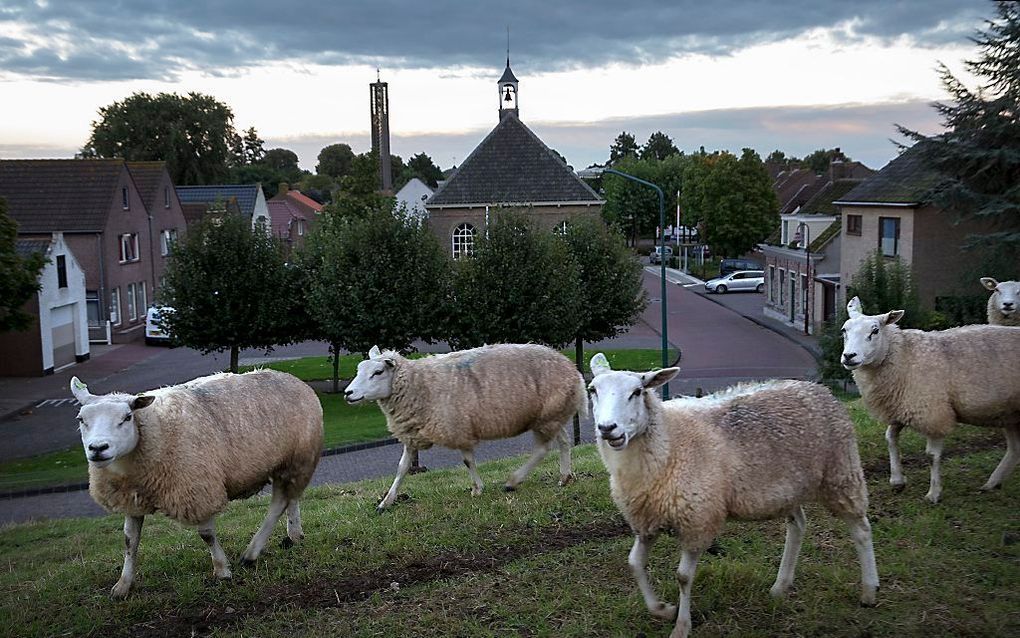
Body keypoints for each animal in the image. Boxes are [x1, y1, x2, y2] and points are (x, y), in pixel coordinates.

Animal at [69, 367, 322, 596]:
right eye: (81, 419)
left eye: (127, 417)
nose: (98, 448)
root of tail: (292, 378)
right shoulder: (132, 499)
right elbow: (130, 541)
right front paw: (122, 586)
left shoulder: (198, 488)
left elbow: (207, 535)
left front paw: (222, 571)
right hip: (287, 463)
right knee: (291, 497)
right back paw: (294, 535)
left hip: (298, 457)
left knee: (279, 503)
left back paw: (251, 553)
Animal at [342, 340, 583, 510]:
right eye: (359, 369)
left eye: (378, 372)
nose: (347, 393)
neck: (418, 384)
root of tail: (572, 368)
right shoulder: (413, 434)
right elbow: (402, 468)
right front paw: (386, 502)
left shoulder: (458, 428)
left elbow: (467, 461)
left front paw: (477, 489)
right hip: (551, 415)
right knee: (563, 442)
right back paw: (565, 477)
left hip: (547, 417)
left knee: (542, 449)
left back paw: (513, 481)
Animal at [587, 353, 881, 636]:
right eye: (592, 390)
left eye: (637, 391)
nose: (607, 428)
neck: (669, 442)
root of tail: (817, 388)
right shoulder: (646, 520)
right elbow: (634, 563)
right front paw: (662, 609)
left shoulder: (698, 520)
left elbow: (683, 577)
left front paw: (682, 626)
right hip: (788, 487)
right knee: (798, 525)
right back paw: (780, 585)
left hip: (841, 472)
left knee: (861, 529)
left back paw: (869, 590)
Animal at [840, 296, 1020, 504]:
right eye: (844, 330)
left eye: (875, 330)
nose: (849, 356)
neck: (905, 355)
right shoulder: (902, 405)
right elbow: (890, 438)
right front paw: (897, 480)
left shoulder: (932, 411)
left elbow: (931, 456)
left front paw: (933, 493)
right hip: (1008, 412)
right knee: (1015, 449)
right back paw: (992, 483)